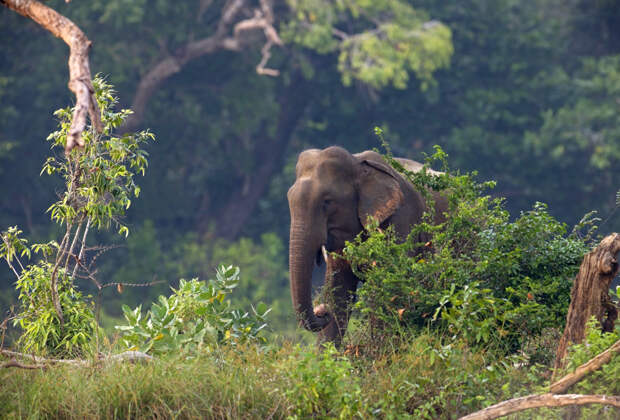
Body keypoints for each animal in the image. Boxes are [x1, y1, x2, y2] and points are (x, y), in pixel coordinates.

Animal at [286, 146, 446, 346]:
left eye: (327, 202)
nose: (321, 310)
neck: (357, 163)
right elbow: (338, 292)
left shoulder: (401, 221)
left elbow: (389, 289)